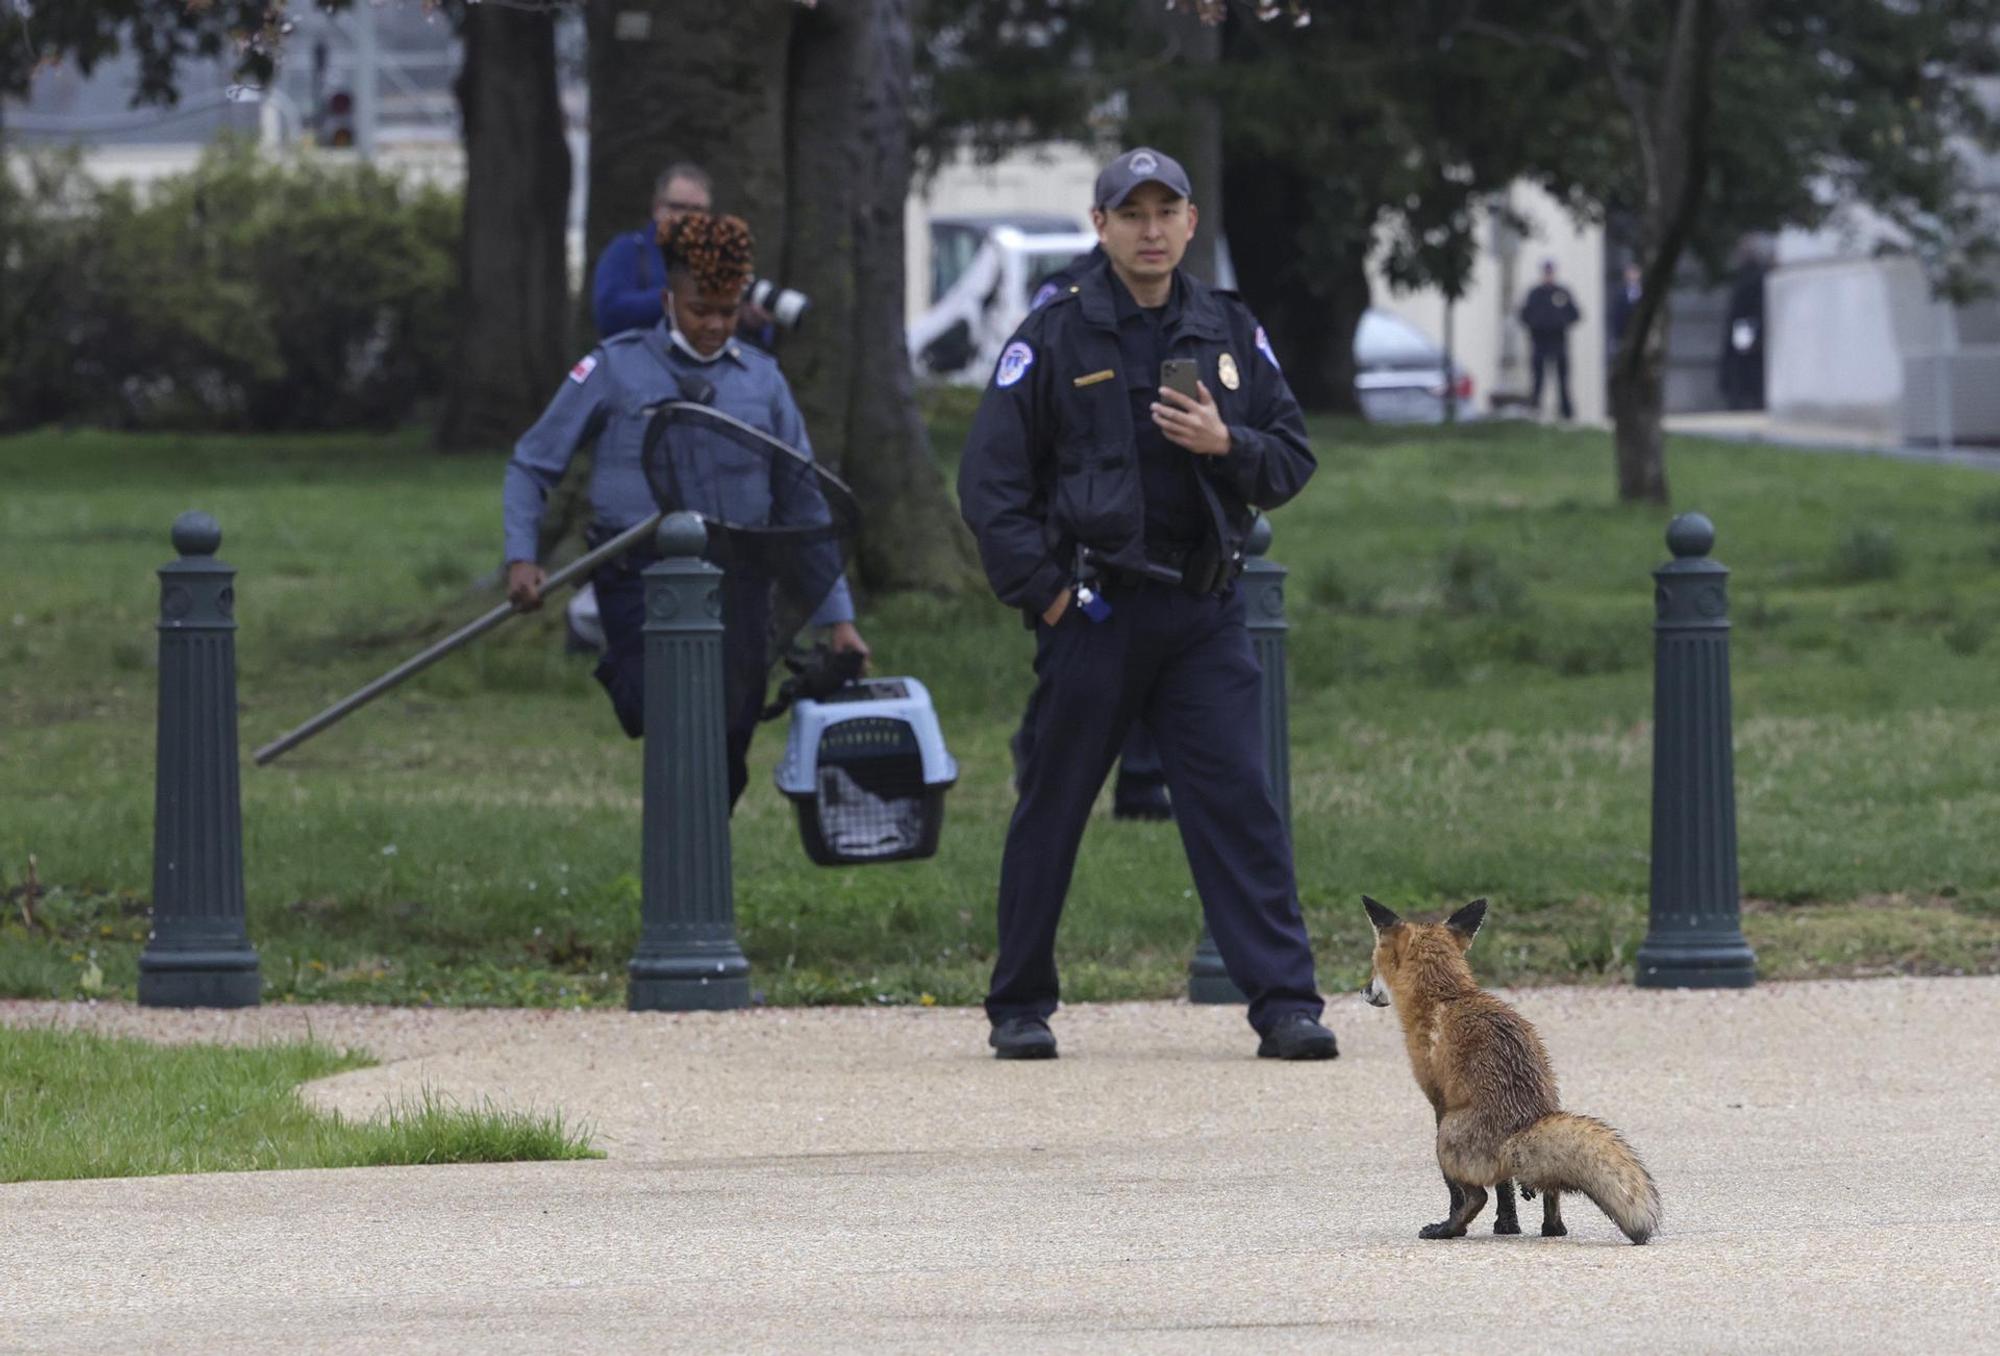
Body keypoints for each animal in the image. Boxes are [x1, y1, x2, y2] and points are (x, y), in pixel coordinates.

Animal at [1360, 896, 1661, 1245]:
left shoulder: (1438, 1101)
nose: (1363, 991)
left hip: (1444, 1139)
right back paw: (1552, 1228)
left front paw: (1486, 1221)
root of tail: (1521, 1126)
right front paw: (1508, 1223)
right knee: (1550, 1192)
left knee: (1476, 1197)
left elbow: (1464, 1193)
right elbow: (1505, 1187)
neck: (1446, 997)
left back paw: (1449, 1230)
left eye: (1374, 964)